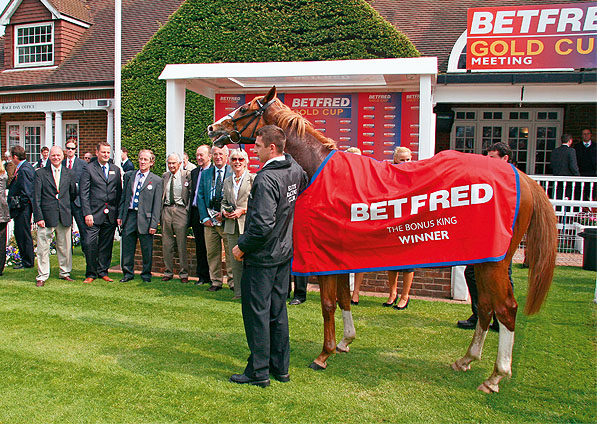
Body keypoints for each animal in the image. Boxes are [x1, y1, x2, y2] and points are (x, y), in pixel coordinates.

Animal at [207, 86, 556, 394]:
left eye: (244, 108)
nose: (213, 128)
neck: (317, 169)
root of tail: (522, 177)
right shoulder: (340, 255)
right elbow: (344, 299)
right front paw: (345, 342)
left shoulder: (324, 254)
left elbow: (328, 303)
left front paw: (324, 354)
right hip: (482, 260)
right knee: (485, 306)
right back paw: (466, 359)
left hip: (495, 263)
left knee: (506, 309)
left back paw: (496, 376)